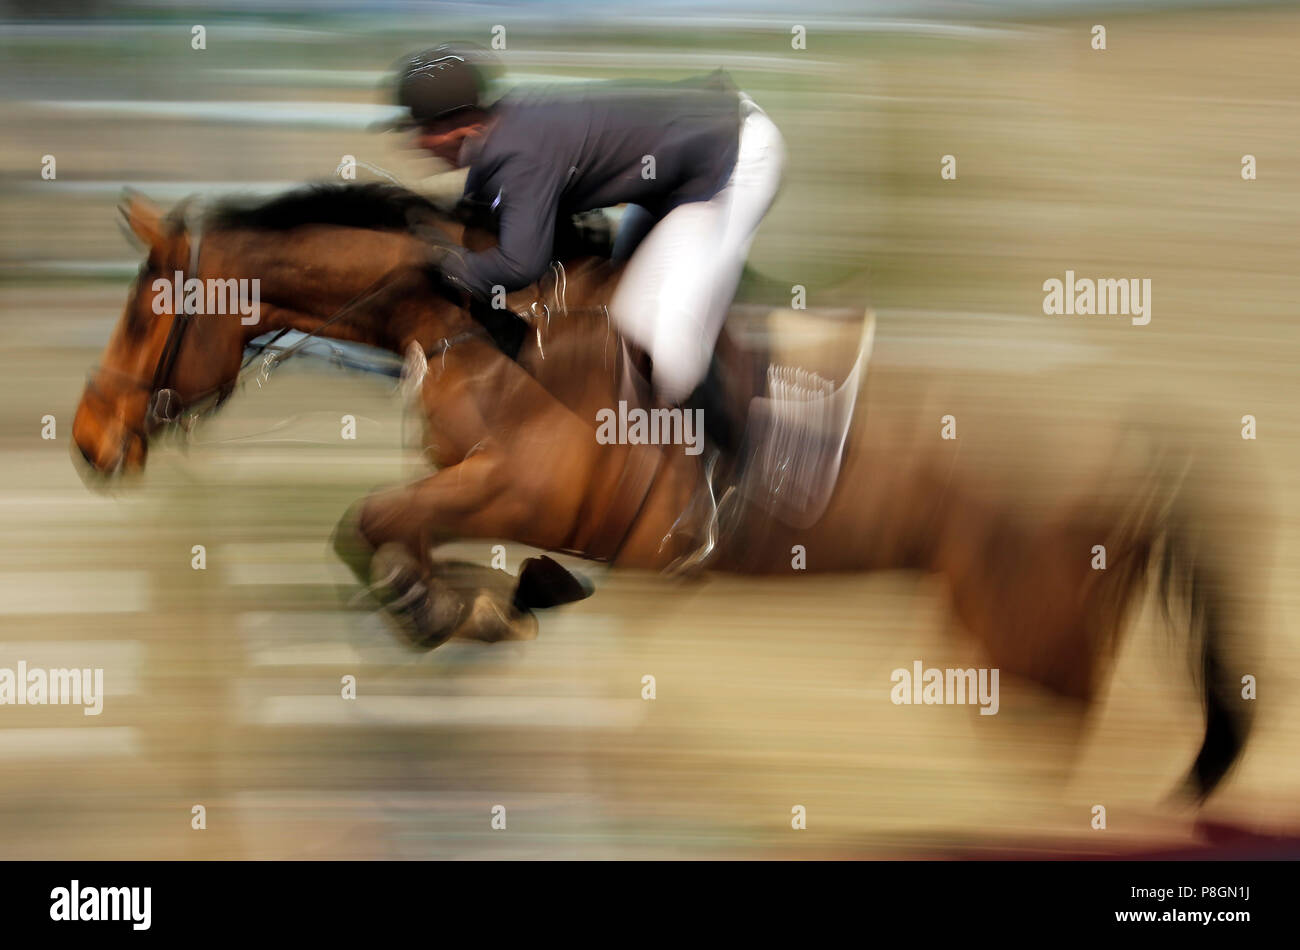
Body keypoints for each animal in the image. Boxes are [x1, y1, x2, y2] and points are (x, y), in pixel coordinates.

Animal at [71, 180, 1258, 800]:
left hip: (1026, 627)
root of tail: (1131, 437)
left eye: (143, 313)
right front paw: (488, 603)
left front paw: (446, 612)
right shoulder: (470, 486)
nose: (86, 442)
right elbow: (399, 533)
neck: (474, 319)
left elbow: (372, 523)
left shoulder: (516, 490)